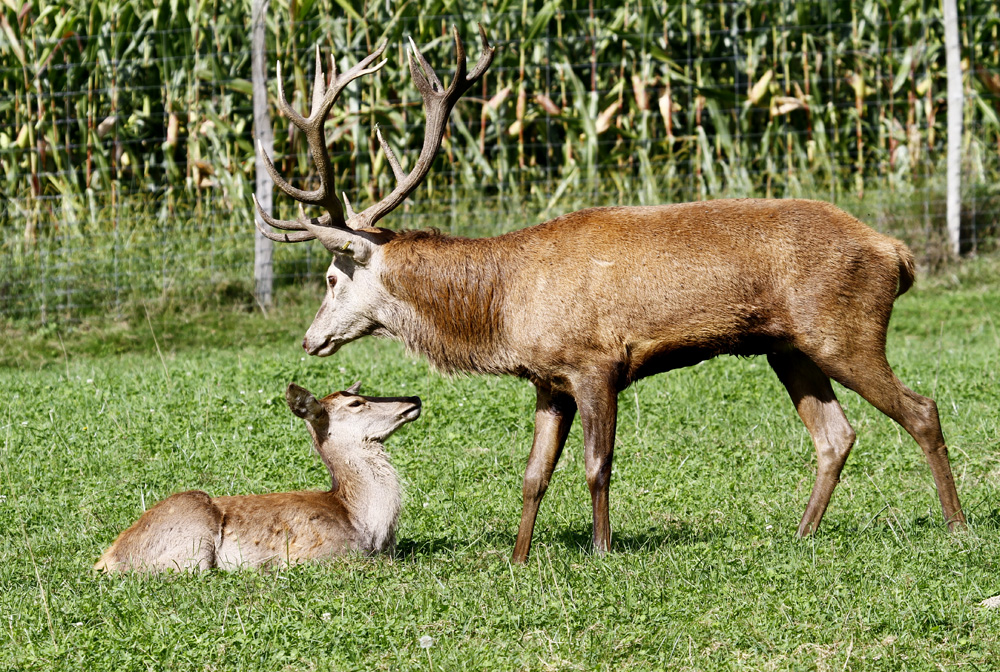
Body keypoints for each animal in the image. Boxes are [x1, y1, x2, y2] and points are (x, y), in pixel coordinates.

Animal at [95, 384, 420, 572]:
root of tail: (106, 560)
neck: (363, 522)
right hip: (192, 538)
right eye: (355, 403)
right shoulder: (316, 554)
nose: (413, 398)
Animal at [252, 25, 968, 560]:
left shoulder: (596, 363)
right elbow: (533, 473)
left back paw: (956, 525)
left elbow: (597, 464)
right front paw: (519, 559)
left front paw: (601, 549)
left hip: (843, 329)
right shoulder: (548, 381)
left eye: (330, 277)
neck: (503, 306)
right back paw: (801, 534)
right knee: (836, 435)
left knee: (922, 410)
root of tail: (897, 253)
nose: (311, 340)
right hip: (786, 346)